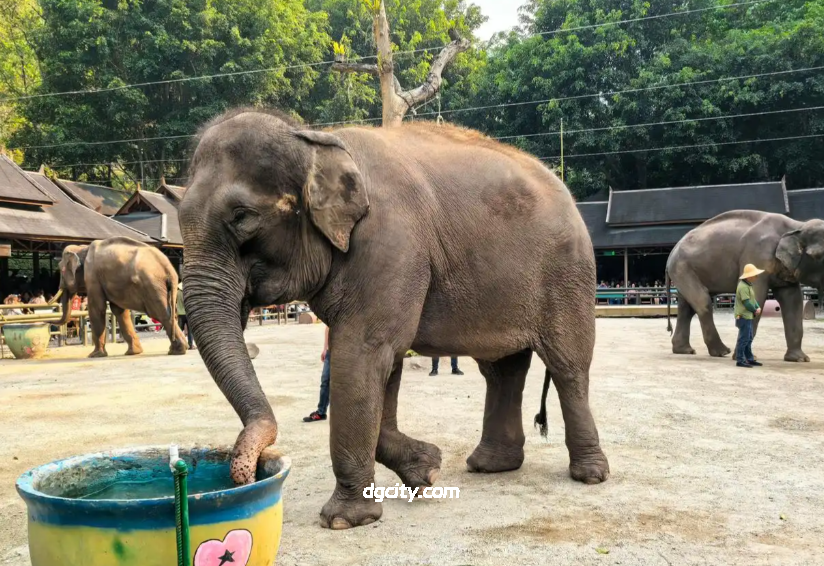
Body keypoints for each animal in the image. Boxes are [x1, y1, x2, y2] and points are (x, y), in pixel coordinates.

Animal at [58, 236, 187, 357]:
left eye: (61, 270)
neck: (82, 248)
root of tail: (169, 268)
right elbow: (119, 310)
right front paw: (133, 352)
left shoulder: (92, 277)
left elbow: (97, 309)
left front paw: (94, 355)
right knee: (169, 313)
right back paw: (176, 349)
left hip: (153, 286)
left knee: (161, 314)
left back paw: (177, 351)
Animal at [179, 108, 610, 530]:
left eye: (242, 216)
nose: (249, 473)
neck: (315, 139)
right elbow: (385, 363)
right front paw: (427, 470)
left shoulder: (391, 242)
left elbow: (365, 353)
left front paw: (344, 521)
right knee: (502, 369)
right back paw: (490, 465)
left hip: (568, 274)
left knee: (568, 365)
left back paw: (589, 475)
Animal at [665, 210, 824, 362]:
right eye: (818, 256)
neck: (797, 225)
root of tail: (672, 251)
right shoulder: (756, 256)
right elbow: (756, 297)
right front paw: (746, 358)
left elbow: (793, 301)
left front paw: (800, 359)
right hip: (682, 268)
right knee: (702, 301)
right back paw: (722, 352)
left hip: (685, 270)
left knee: (686, 308)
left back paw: (685, 350)